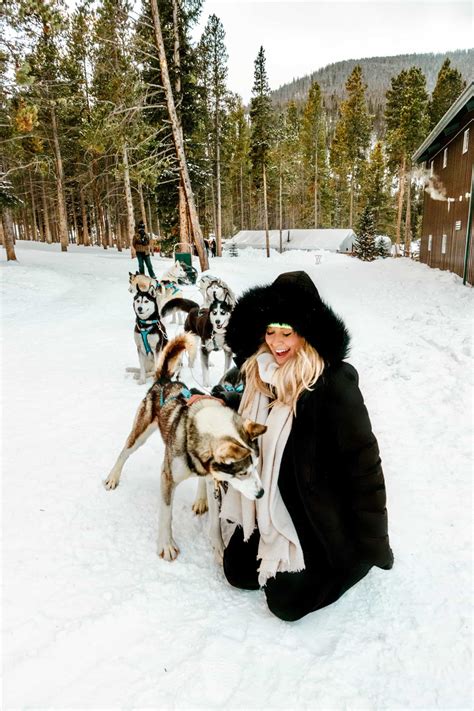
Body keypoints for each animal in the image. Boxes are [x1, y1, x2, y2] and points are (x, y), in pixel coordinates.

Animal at [104, 336, 266, 564]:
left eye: (256, 466)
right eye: (242, 473)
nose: (261, 493)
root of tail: (165, 380)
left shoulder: (213, 479)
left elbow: (215, 522)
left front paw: (219, 548)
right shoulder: (168, 476)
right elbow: (166, 514)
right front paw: (166, 545)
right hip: (140, 433)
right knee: (124, 452)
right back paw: (113, 477)